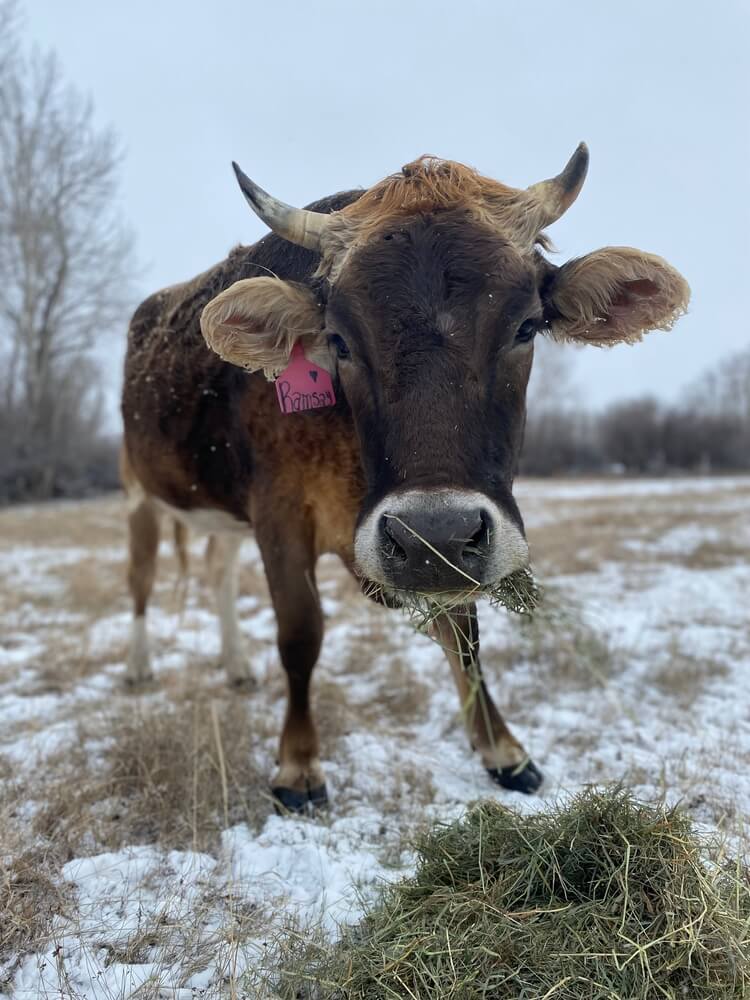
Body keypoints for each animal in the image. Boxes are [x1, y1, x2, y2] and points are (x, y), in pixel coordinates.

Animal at [121, 145, 689, 811]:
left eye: (527, 326)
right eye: (338, 340)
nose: (432, 535)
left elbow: (465, 639)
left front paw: (502, 750)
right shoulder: (279, 514)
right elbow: (300, 635)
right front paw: (298, 765)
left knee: (216, 569)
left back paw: (236, 666)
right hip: (138, 491)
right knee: (141, 580)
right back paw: (138, 666)